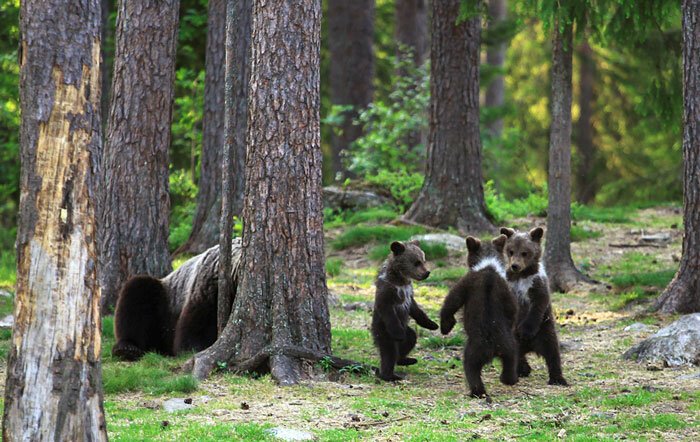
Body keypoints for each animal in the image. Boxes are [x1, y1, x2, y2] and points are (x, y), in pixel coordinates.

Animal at [109, 238, 241, 360]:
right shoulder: (209, 285)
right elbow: (198, 324)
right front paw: (193, 349)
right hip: (165, 301)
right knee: (137, 293)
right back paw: (127, 348)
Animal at [372, 240, 438, 382]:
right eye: (416, 262)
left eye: (423, 260)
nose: (427, 272)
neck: (400, 280)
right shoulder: (388, 292)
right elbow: (387, 310)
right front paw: (398, 334)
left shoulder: (408, 293)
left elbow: (416, 310)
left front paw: (432, 324)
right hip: (383, 331)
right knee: (389, 351)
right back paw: (390, 375)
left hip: (406, 329)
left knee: (411, 338)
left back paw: (405, 359)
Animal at [440, 235, 524, 398]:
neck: (488, 266)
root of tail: (492, 347)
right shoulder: (507, 291)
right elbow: (513, 309)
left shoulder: (466, 283)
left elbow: (451, 301)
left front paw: (446, 326)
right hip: (509, 345)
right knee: (511, 360)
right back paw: (509, 379)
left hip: (474, 349)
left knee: (471, 368)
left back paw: (477, 392)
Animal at [498, 228, 568, 386]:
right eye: (511, 251)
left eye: (525, 252)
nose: (515, 266)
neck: (522, 276)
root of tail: (530, 347)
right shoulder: (510, 286)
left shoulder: (537, 284)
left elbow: (538, 305)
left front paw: (526, 330)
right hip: (512, 338)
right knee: (514, 355)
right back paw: (521, 370)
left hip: (544, 330)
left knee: (552, 352)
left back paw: (557, 378)